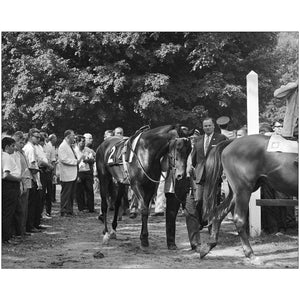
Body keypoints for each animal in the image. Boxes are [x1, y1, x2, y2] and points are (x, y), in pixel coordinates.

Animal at [199, 134, 298, 262]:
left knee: (219, 212)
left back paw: (208, 246)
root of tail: (233, 141)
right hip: (243, 190)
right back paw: (250, 254)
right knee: (239, 219)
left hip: (236, 193)